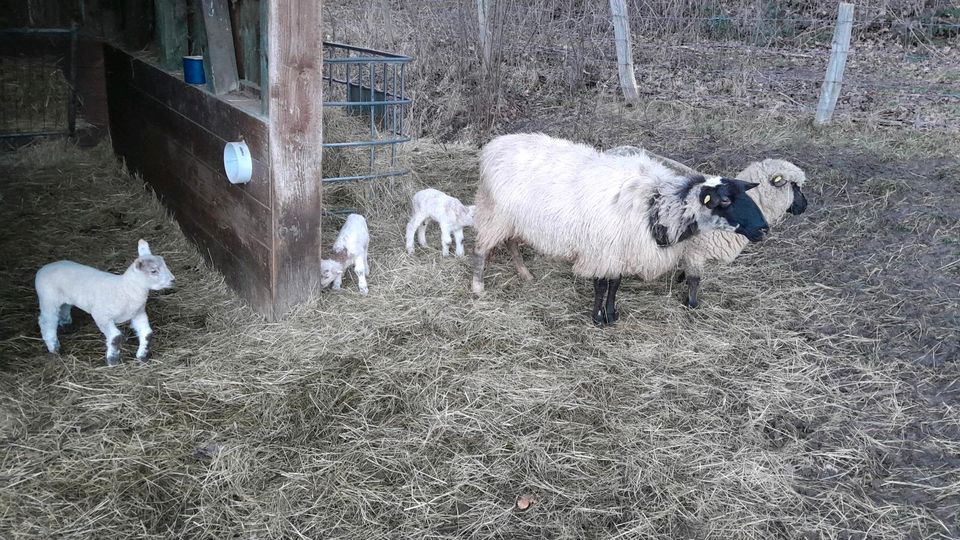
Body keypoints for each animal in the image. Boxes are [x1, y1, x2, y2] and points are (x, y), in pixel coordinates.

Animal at [34, 239, 176, 368]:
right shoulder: (101, 316)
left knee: (64, 307)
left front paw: (143, 356)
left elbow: (147, 334)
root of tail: (44, 267)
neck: (125, 289)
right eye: (153, 271)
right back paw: (54, 347)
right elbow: (115, 337)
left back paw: (67, 326)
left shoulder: (138, 313)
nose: (173, 280)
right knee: (47, 321)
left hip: (64, 297)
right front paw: (113, 360)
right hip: (48, 298)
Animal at [472, 133, 772, 324]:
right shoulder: (602, 249)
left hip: (513, 219)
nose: (764, 229)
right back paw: (478, 287)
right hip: (494, 213)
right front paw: (598, 318)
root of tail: (495, 145)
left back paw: (525, 273)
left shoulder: (620, 250)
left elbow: (614, 284)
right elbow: (600, 284)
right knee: (481, 249)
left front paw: (612, 314)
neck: (656, 205)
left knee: (511, 242)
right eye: (725, 200)